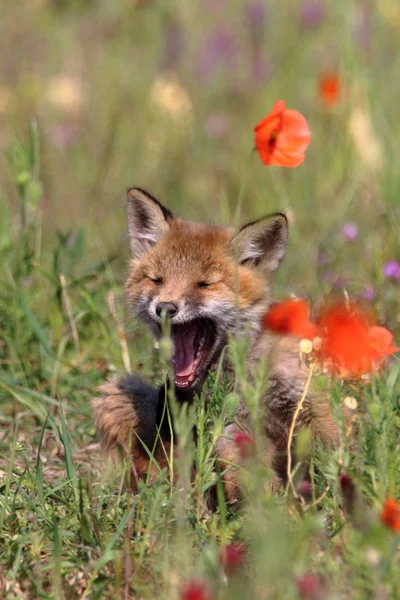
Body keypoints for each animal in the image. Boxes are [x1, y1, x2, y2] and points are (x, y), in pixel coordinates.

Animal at [91, 188, 338, 502]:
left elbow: (332, 456)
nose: (165, 308)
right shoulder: (231, 431)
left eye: (204, 284)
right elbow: (257, 483)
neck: (246, 378)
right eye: (157, 280)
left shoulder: (303, 404)